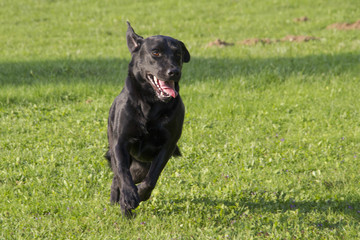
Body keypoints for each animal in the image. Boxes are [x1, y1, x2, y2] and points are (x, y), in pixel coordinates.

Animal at [105, 22, 191, 217]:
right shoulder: (120, 143)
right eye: (156, 53)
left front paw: (141, 194)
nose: (174, 72)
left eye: (178, 54)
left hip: (141, 166)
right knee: (117, 177)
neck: (151, 105)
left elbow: (152, 177)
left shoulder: (167, 146)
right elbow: (123, 174)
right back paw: (119, 203)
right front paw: (129, 197)